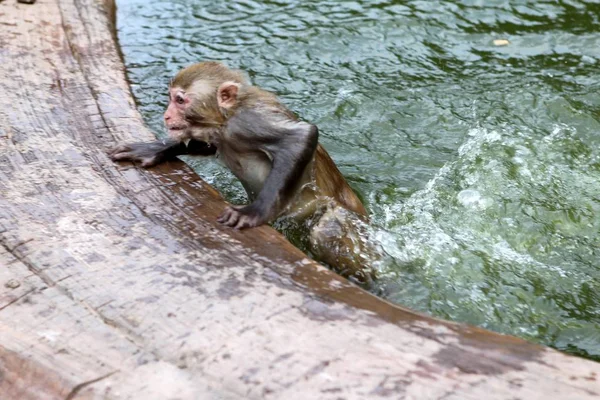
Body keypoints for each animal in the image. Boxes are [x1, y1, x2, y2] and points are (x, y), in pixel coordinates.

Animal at [109, 62, 376, 282]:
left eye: (180, 100)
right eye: (170, 98)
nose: (166, 115)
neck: (226, 118)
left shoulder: (248, 123)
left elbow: (301, 136)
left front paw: (255, 212)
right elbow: (206, 144)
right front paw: (151, 149)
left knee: (326, 232)